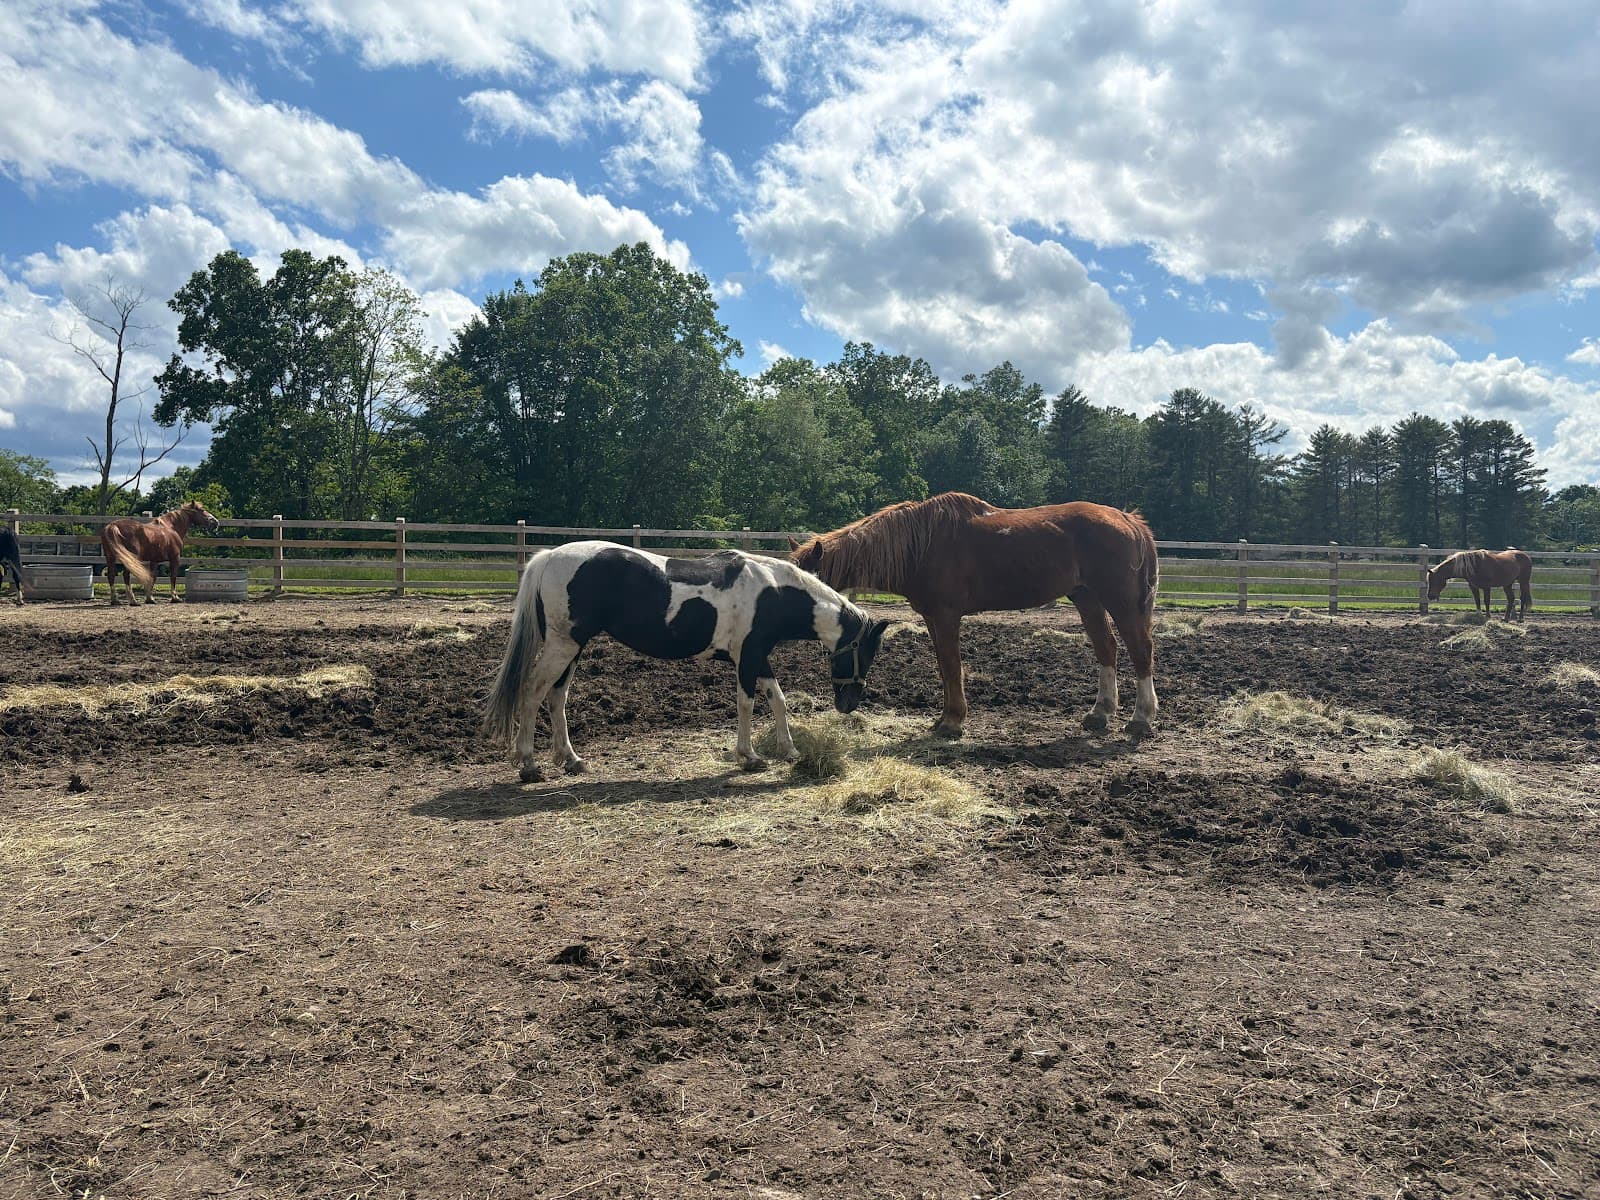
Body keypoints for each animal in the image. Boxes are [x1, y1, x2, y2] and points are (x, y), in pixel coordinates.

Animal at [483, 541, 889, 782]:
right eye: (866, 652)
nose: (849, 704)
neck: (771, 591)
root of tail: (550, 556)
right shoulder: (748, 658)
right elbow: (746, 704)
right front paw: (749, 756)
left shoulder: (757, 657)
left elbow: (778, 699)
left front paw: (789, 750)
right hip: (562, 646)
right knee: (534, 692)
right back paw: (529, 764)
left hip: (572, 647)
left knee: (557, 697)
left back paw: (571, 759)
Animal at [790, 492, 1159, 740]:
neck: (921, 546)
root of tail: (1128, 519)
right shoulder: (932, 618)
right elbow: (943, 668)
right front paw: (942, 719)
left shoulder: (946, 616)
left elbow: (952, 667)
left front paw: (953, 722)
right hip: (1087, 598)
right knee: (1107, 648)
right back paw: (1100, 713)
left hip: (1120, 601)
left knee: (1140, 650)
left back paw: (1141, 718)